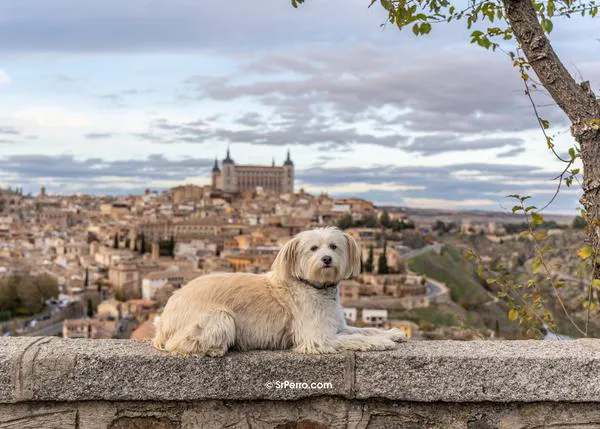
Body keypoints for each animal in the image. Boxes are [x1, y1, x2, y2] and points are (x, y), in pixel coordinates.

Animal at [155, 226, 406, 356]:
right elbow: (356, 338)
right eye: (313, 248)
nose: (326, 259)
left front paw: (391, 332)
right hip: (220, 318)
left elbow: (364, 330)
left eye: (334, 246)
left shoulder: (337, 326)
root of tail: (164, 320)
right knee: (178, 345)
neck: (314, 287)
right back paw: (213, 349)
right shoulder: (317, 338)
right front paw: (382, 343)